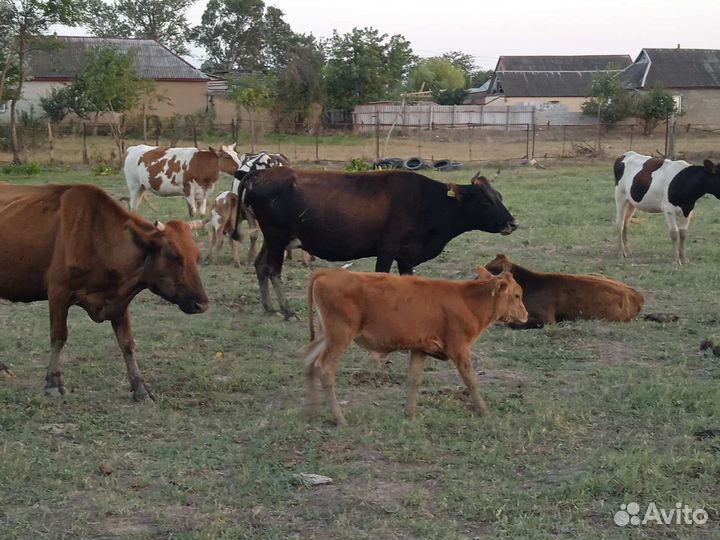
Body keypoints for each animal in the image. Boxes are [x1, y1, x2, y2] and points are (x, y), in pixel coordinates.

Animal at [0, 182, 209, 401]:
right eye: (173, 256)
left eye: (197, 255)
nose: (202, 304)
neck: (99, 236)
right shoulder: (58, 292)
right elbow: (58, 337)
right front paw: (53, 384)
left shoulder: (120, 301)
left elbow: (127, 343)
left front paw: (140, 388)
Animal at [232, 168, 518, 318]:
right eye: (485, 200)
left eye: (499, 196)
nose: (512, 223)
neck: (427, 202)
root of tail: (257, 173)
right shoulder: (387, 250)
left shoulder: (405, 255)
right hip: (277, 236)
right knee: (273, 270)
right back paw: (287, 309)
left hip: (273, 239)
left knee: (260, 266)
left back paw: (269, 306)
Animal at [301, 267, 528, 425]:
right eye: (517, 295)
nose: (525, 315)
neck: (468, 301)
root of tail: (329, 272)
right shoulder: (459, 349)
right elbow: (471, 380)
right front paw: (484, 411)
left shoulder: (420, 349)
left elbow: (414, 379)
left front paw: (410, 413)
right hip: (340, 336)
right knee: (324, 369)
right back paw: (339, 418)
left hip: (326, 336)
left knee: (308, 360)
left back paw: (313, 411)